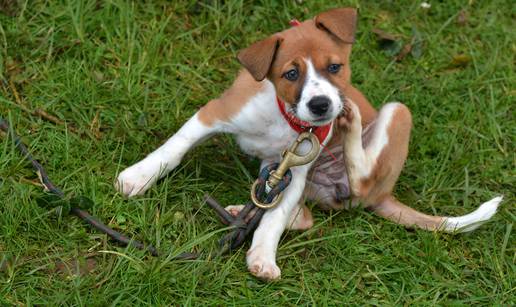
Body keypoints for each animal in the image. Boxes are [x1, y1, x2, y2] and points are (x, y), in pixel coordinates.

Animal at [115, 7, 502, 282]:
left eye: (335, 67)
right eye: (290, 74)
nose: (321, 106)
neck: (284, 117)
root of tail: (384, 196)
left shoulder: (296, 171)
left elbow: (273, 221)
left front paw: (262, 256)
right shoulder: (215, 114)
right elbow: (173, 148)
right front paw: (138, 177)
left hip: (394, 116)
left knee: (356, 180)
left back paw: (351, 123)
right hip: (293, 179)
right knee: (301, 216)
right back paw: (244, 211)